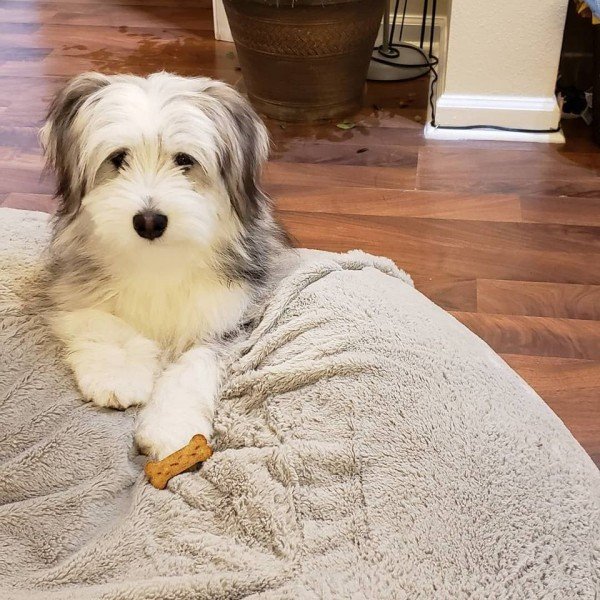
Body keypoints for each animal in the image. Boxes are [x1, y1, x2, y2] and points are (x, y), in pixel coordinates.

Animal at [41, 72, 288, 459]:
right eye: (118, 158)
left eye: (185, 160)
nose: (149, 221)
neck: (157, 260)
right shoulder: (71, 285)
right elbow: (102, 321)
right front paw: (119, 373)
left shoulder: (229, 312)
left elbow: (194, 366)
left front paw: (173, 428)